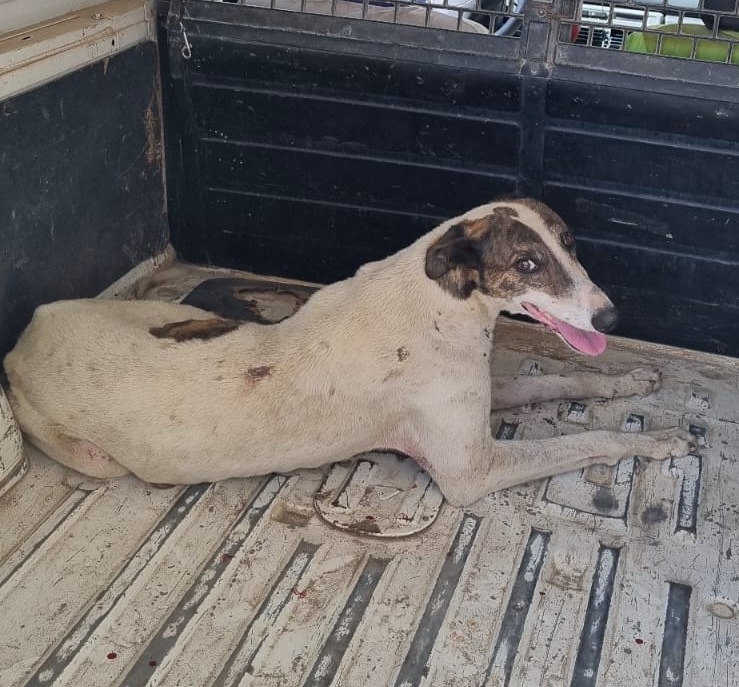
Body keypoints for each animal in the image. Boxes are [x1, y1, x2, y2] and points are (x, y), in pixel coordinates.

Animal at [4, 196, 692, 508]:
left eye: (570, 243)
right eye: (527, 264)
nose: (611, 318)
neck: (439, 300)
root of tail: (23, 342)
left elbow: (556, 381)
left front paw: (628, 383)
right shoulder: (473, 470)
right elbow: (590, 438)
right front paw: (657, 441)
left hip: (179, 316)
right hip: (95, 460)